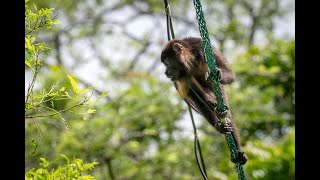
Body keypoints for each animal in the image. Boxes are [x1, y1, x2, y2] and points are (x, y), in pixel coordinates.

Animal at [160, 36, 248, 165]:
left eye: (166, 62)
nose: (166, 72)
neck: (189, 61)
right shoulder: (181, 77)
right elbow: (195, 95)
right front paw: (215, 117)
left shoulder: (201, 47)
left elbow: (230, 74)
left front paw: (218, 74)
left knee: (228, 116)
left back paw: (239, 154)